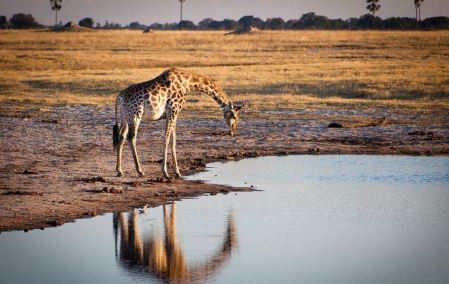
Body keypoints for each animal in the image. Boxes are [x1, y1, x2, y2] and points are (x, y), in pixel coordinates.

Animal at [112, 67, 242, 178]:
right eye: (234, 116)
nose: (233, 131)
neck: (187, 84)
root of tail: (119, 97)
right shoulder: (173, 110)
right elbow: (166, 138)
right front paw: (165, 172)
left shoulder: (174, 114)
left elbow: (173, 140)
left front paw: (177, 172)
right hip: (136, 114)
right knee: (131, 137)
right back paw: (140, 171)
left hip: (125, 116)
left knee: (121, 136)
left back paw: (119, 170)